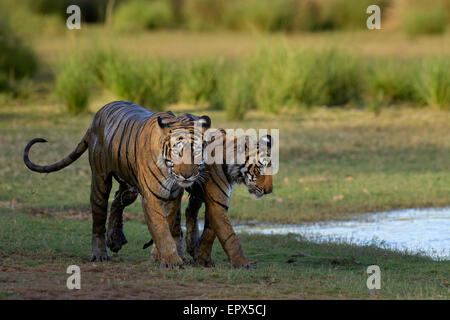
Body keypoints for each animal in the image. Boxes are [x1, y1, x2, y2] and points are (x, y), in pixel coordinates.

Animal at [22, 101, 209, 266]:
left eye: (197, 152)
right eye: (178, 151)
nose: (187, 175)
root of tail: (96, 117)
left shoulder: (173, 197)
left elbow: (168, 225)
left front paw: (160, 257)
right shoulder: (152, 196)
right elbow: (161, 228)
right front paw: (171, 261)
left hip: (129, 185)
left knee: (118, 200)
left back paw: (115, 239)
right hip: (100, 180)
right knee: (98, 219)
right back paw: (100, 253)